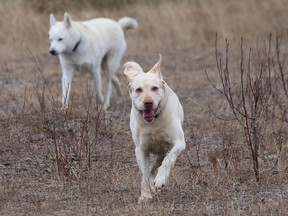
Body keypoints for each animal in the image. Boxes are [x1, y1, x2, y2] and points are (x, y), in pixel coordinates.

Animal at [124, 54, 187, 202]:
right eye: (138, 90)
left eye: (155, 88)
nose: (148, 102)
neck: (153, 122)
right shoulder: (141, 150)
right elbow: (145, 173)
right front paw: (146, 195)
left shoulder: (179, 142)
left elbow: (168, 161)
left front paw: (160, 180)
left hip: (165, 148)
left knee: (162, 160)